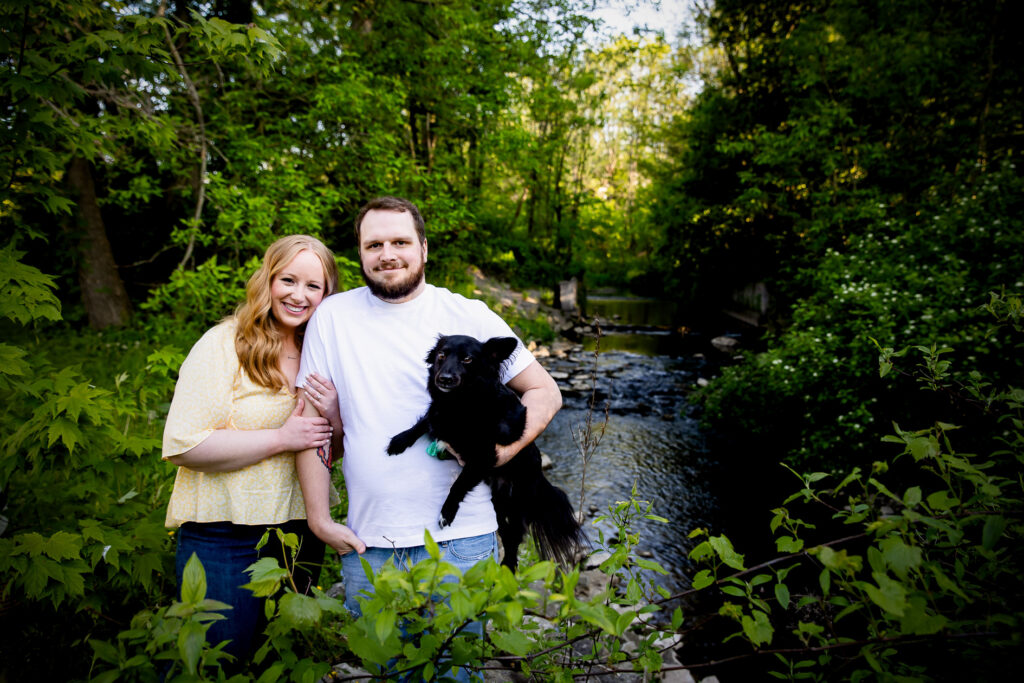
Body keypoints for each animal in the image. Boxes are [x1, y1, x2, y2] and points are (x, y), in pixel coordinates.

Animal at [387, 333, 589, 569]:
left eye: (467, 359)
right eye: (441, 355)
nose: (444, 378)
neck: (458, 402)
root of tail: (539, 477)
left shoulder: (483, 456)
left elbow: (458, 485)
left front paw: (447, 512)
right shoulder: (438, 416)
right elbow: (424, 421)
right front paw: (400, 440)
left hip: (514, 505)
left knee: (514, 538)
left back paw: (507, 568)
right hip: (499, 506)